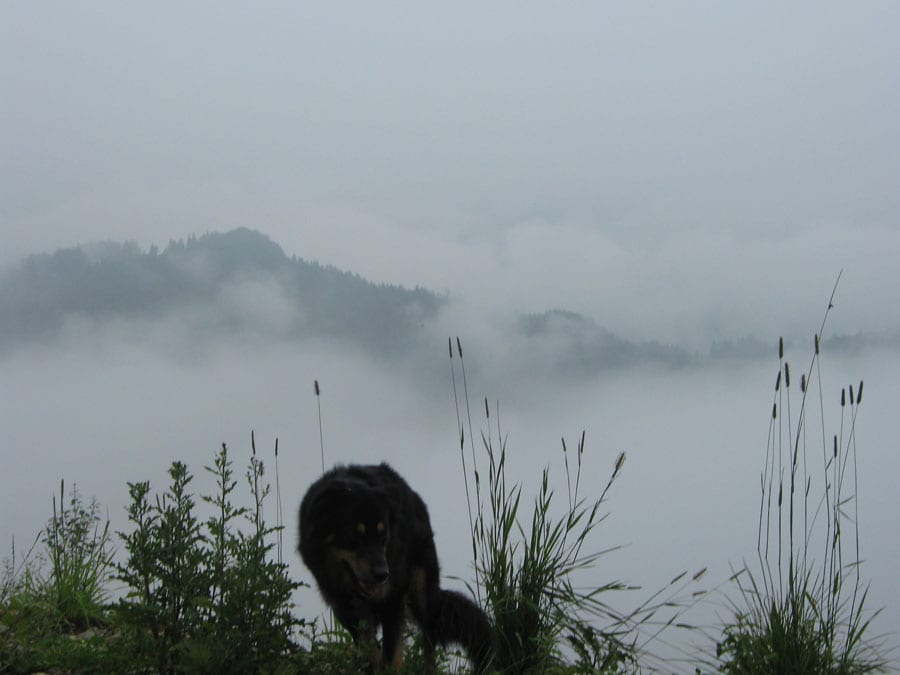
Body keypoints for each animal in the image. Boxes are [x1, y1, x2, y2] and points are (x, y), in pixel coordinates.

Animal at [299, 463, 493, 672]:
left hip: (422, 588)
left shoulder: (393, 597)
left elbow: (392, 655)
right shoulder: (345, 607)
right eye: (355, 536)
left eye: (383, 536)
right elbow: (370, 653)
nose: (382, 574)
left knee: (429, 643)